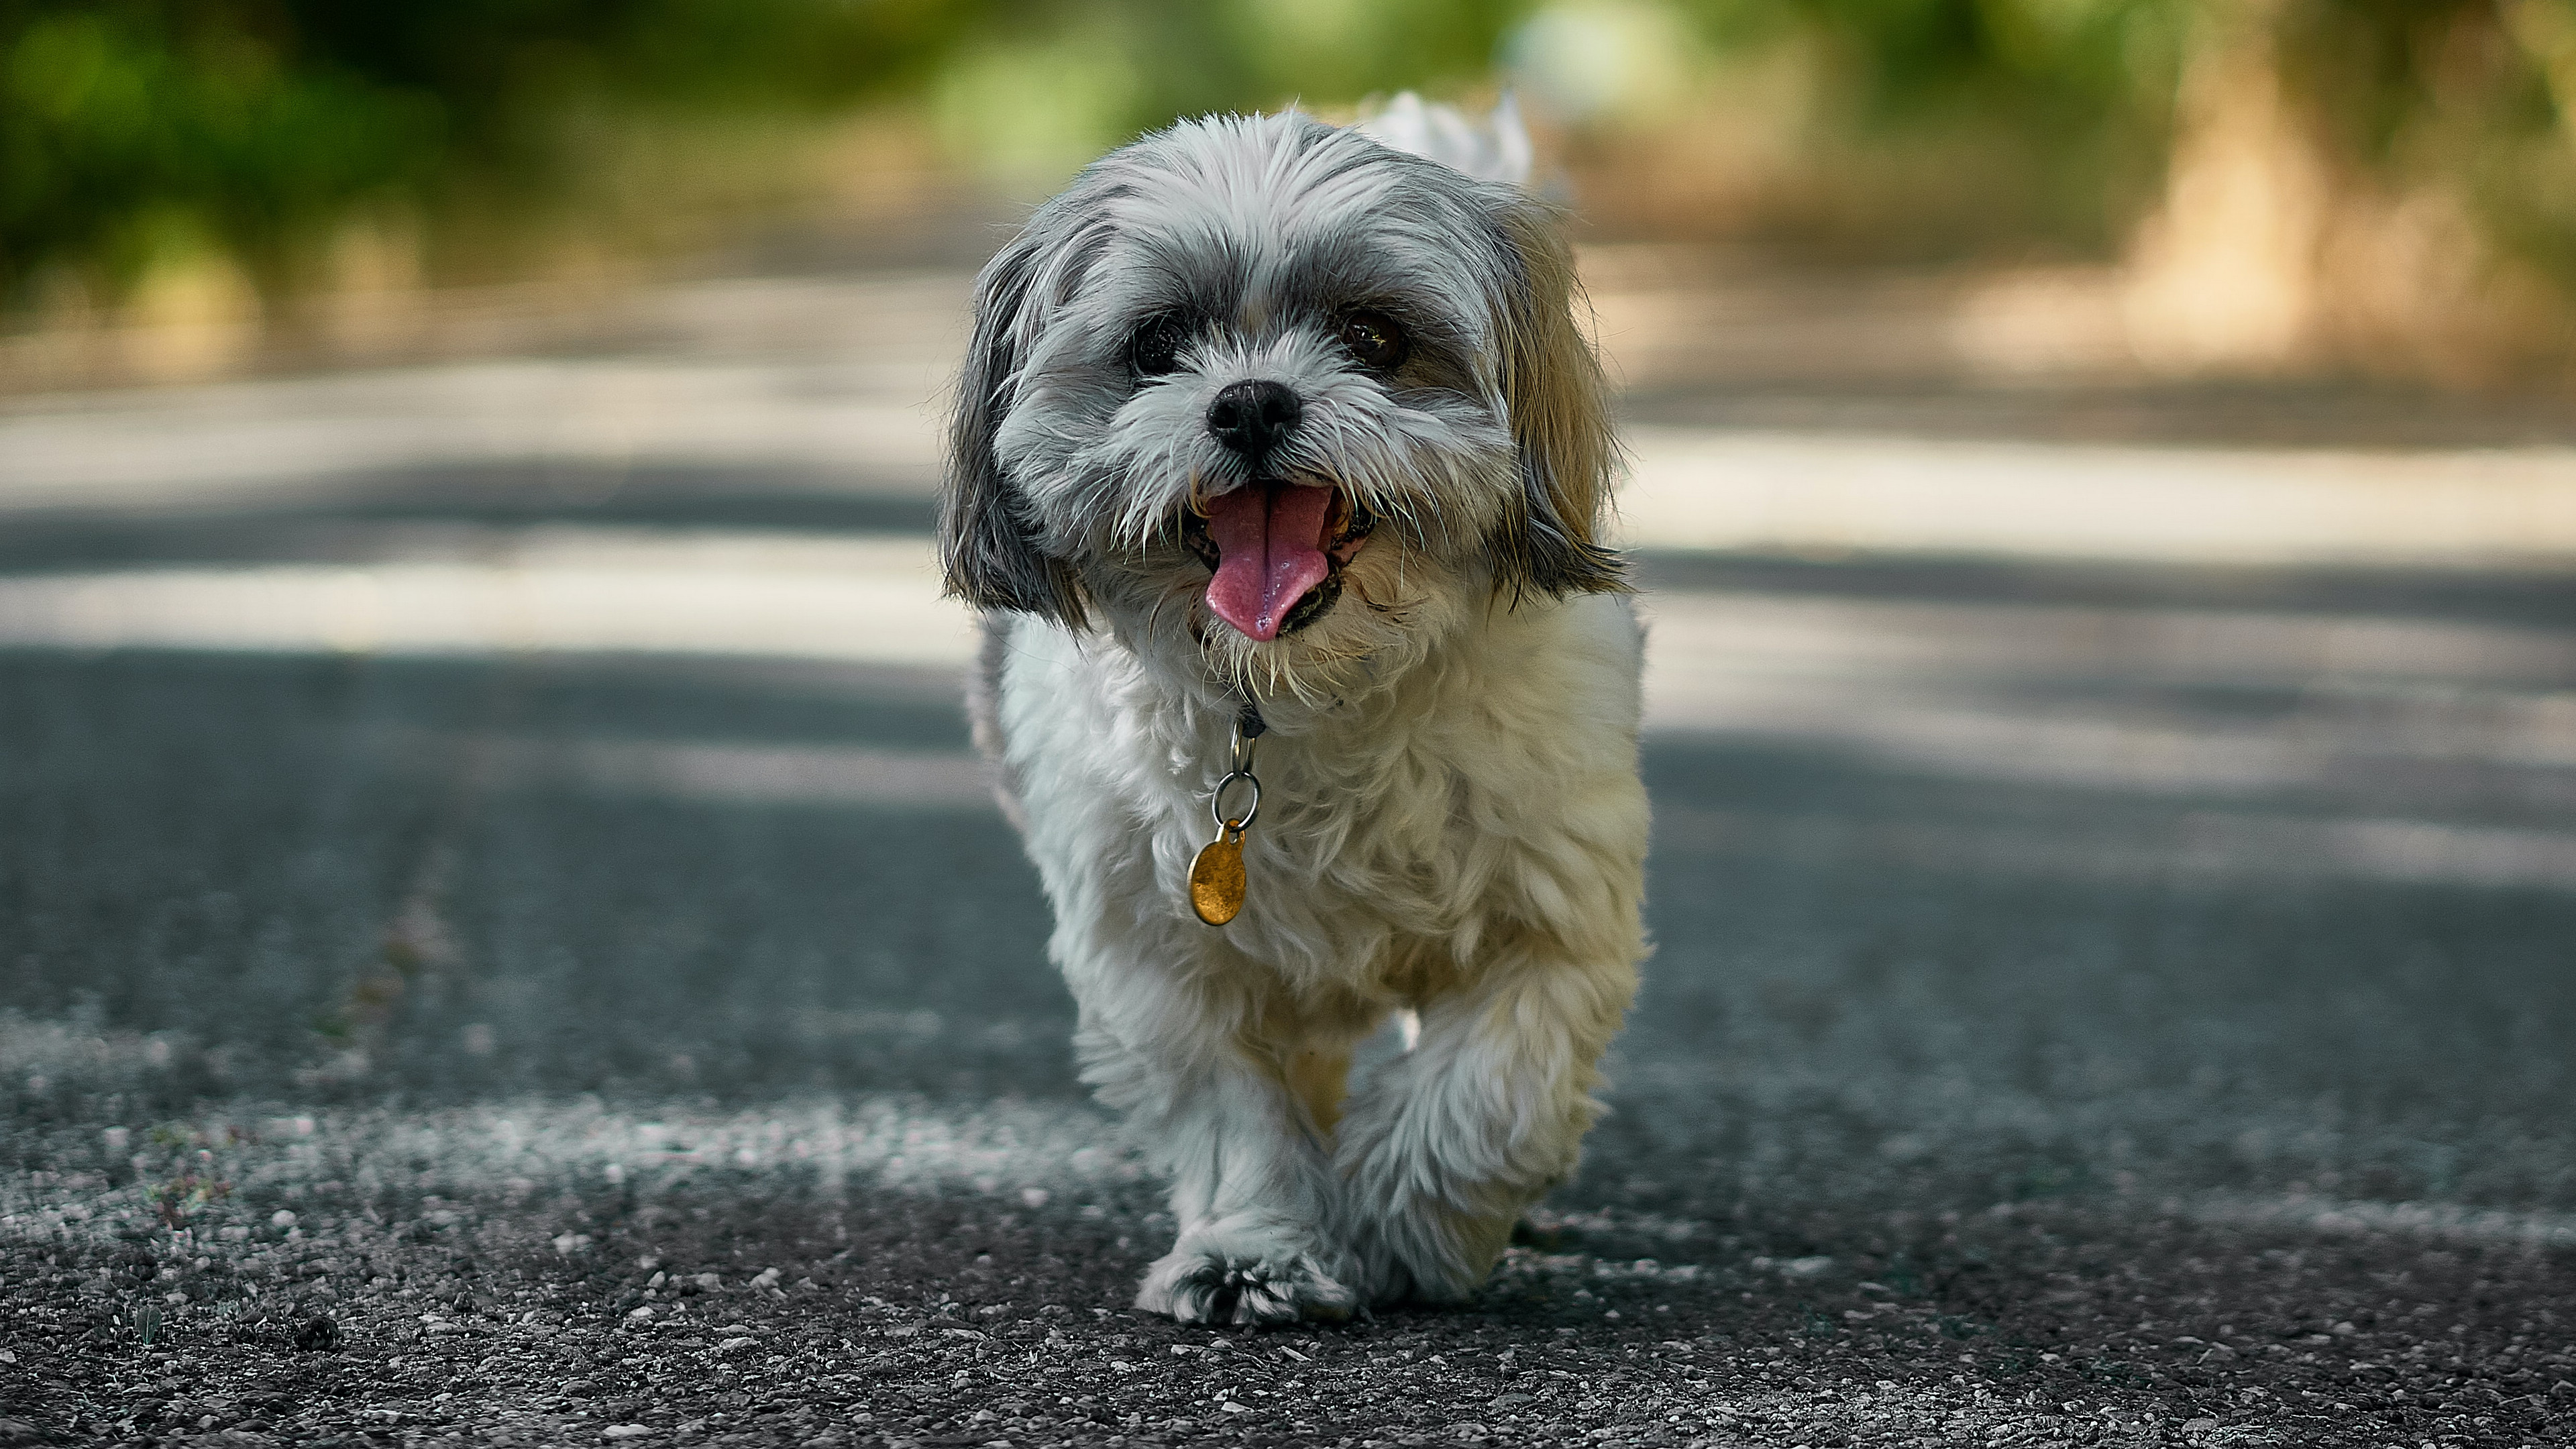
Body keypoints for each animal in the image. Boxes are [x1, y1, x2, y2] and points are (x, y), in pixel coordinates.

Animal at [948, 101, 1648, 1320]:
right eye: (1157, 346)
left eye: (1373, 337)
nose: (1252, 401)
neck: (1303, 698)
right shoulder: (1159, 956)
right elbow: (1233, 1111)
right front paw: (1253, 1249)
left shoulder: (1552, 919)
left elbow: (1490, 1093)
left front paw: (1407, 1229)